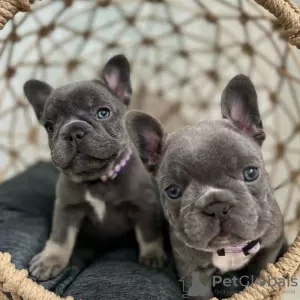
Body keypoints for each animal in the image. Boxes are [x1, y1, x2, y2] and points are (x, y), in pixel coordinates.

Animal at [24, 54, 166, 282]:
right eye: (49, 126)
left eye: (103, 113)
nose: (73, 131)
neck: (98, 179)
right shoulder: (67, 209)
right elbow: (60, 236)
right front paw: (49, 259)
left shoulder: (144, 206)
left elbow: (148, 233)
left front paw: (152, 256)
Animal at [126, 74, 286, 298]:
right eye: (173, 191)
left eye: (251, 173)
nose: (216, 205)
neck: (230, 250)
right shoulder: (191, 269)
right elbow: (200, 292)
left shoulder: (270, 245)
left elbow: (261, 270)